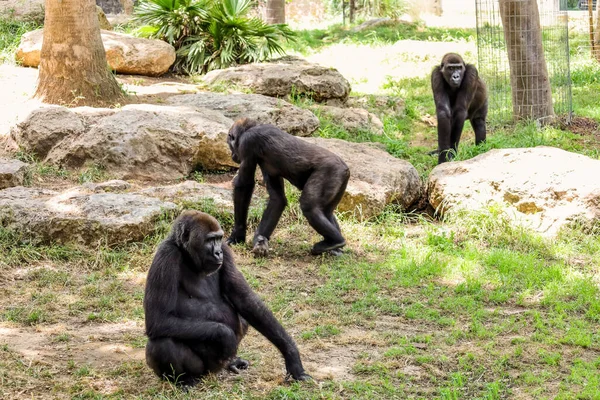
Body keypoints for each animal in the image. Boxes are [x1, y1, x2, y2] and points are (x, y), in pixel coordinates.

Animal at [141, 211, 310, 386]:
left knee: (243, 319)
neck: (186, 253)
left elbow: (245, 300)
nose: (218, 252)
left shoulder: (226, 250)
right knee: (162, 343)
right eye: (209, 240)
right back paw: (184, 381)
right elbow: (159, 319)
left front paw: (291, 355)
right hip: (203, 370)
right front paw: (224, 335)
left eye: (218, 238)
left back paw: (232, 362)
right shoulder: (166, 255)